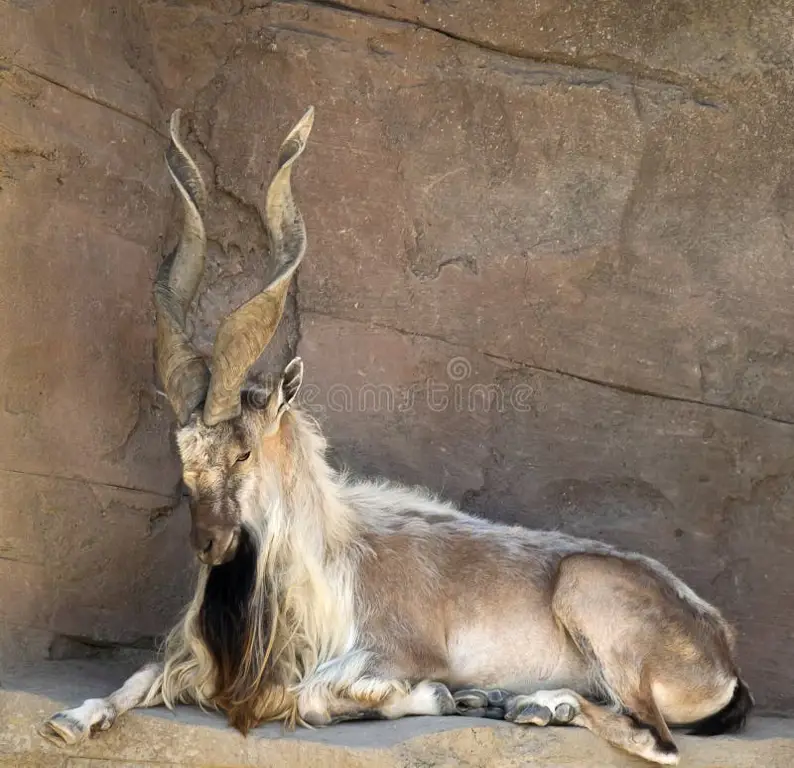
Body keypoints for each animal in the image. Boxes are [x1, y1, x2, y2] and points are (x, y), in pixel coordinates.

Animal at [40, 106, 752, 760]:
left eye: (243, 451)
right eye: (181, 455)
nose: (208, 544)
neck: (327, 558)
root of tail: (720, 651)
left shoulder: (386, 655)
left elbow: (317, 699)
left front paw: (443, 695)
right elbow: (143, 674)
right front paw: (69, 720)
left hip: (589, 593)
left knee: (656, 739)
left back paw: (527, 702)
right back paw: (527, 702)